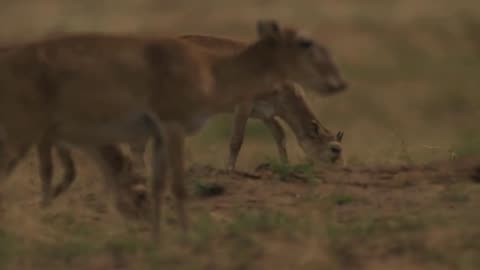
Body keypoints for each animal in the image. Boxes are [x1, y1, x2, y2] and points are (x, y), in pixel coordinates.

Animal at [0, 20, 346, 238]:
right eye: (334, 149)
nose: (340, 166)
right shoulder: (244, 106)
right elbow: (236, 140)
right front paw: (230, 169)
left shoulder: (264, 114)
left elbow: (280, 135)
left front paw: (284, 166)